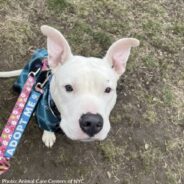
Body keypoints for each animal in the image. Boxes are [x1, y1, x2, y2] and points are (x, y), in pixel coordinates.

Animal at [0, 25, 139, 148]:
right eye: (68, 87)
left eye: (108, 90)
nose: (93, 123)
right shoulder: (45, 115)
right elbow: (47, 126)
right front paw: (48, 135)